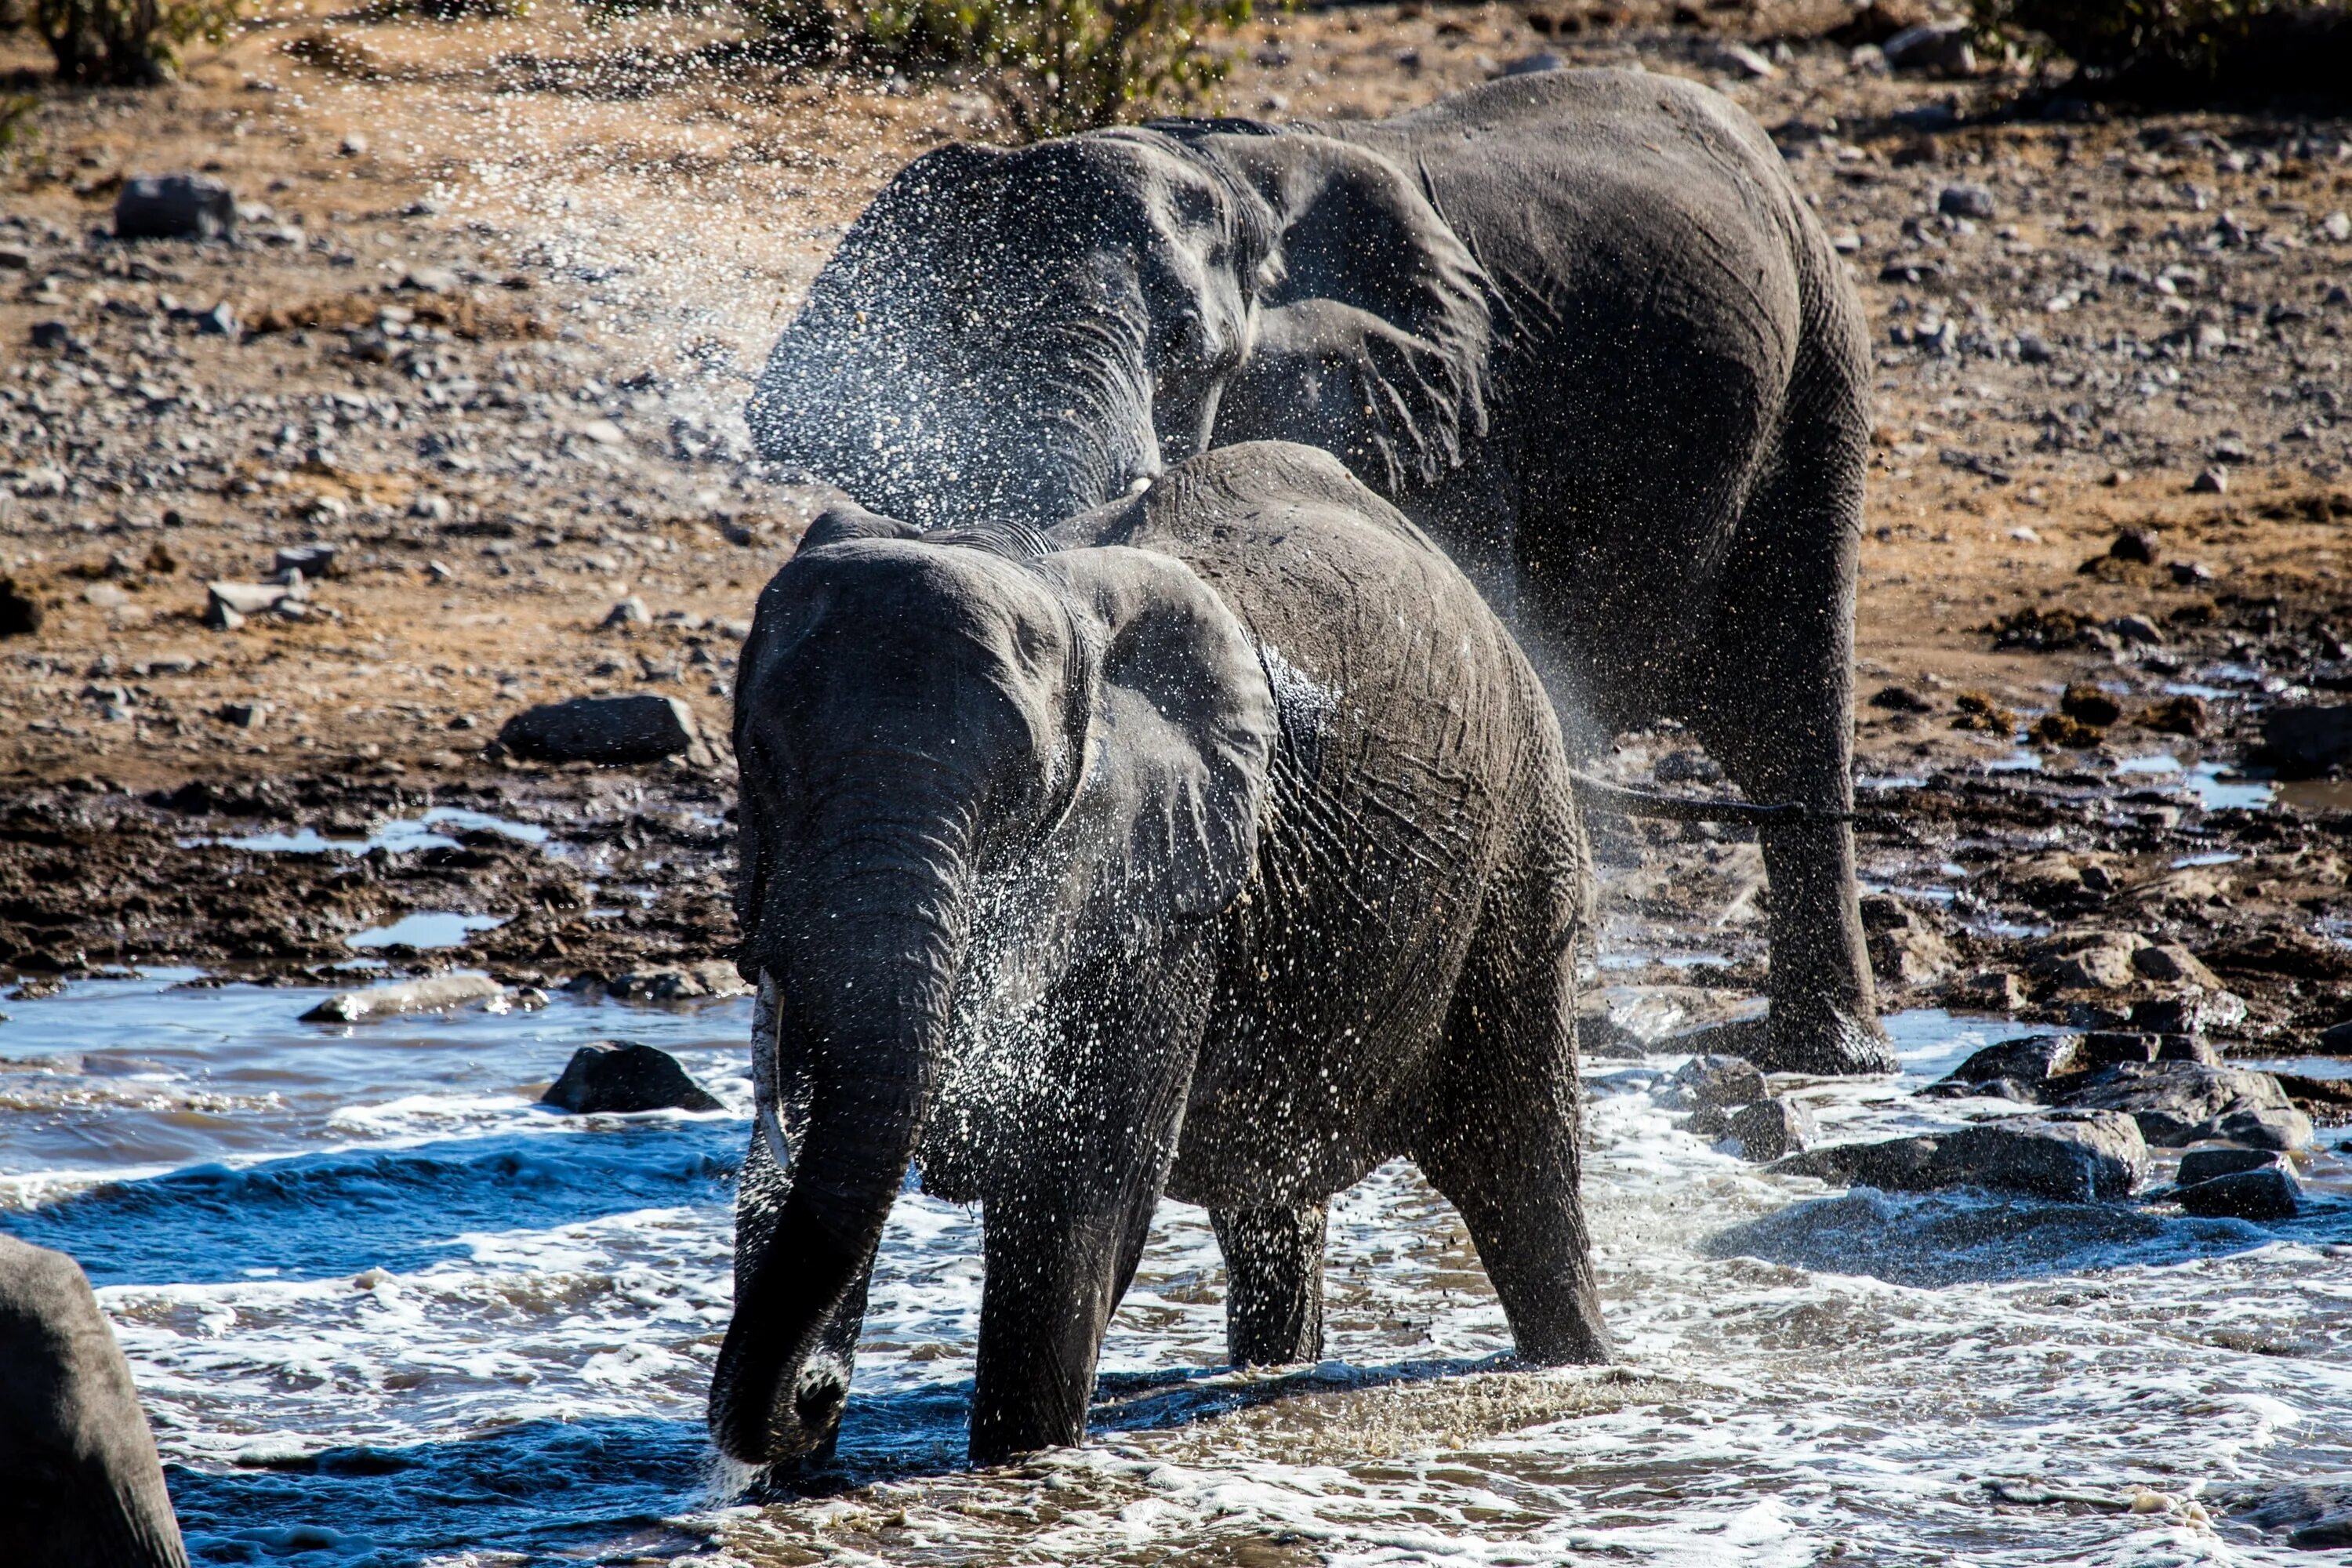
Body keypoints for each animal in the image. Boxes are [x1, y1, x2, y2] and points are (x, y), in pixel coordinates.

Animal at [706, 439, 1609, 1476]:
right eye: (759, 757)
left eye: (1022, 790)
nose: (819, 1394)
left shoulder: (1159, 899)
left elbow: (1078, 1204)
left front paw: (1019, 1468)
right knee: (1273, 1204)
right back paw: (1274, 1373)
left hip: (1520, 856)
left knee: (1521, 1169)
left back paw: (1582, 1372)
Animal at [753, 67, 1891, 1086]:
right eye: (951, 341)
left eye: (1192, 347)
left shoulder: (1439, 431)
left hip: (1822, 364)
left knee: (1792, 704)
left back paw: (1823, 1061)